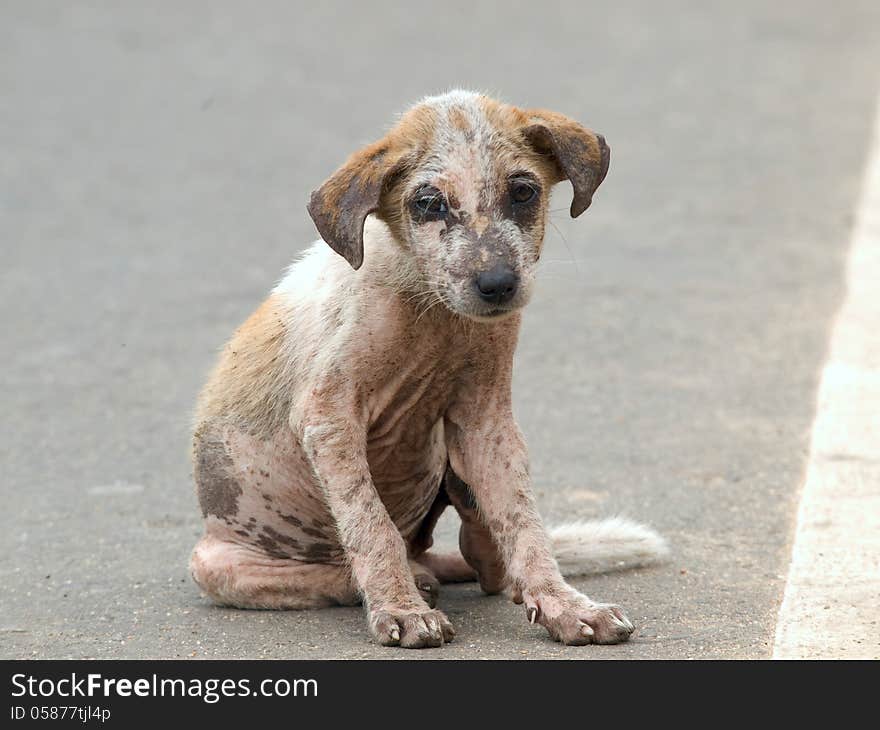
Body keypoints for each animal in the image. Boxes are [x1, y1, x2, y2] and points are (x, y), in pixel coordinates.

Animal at [191, 91, 668, 648]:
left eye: (523, 192)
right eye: (427, 203)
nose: (497, 284)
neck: (429, 304)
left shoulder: (488, 421)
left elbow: (525, 524)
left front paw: (564, 605)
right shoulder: (328, 421)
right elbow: (371, 526)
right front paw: (400, 608)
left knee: (486, 562)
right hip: (217, 564)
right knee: (344, 567)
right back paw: (405, 581)